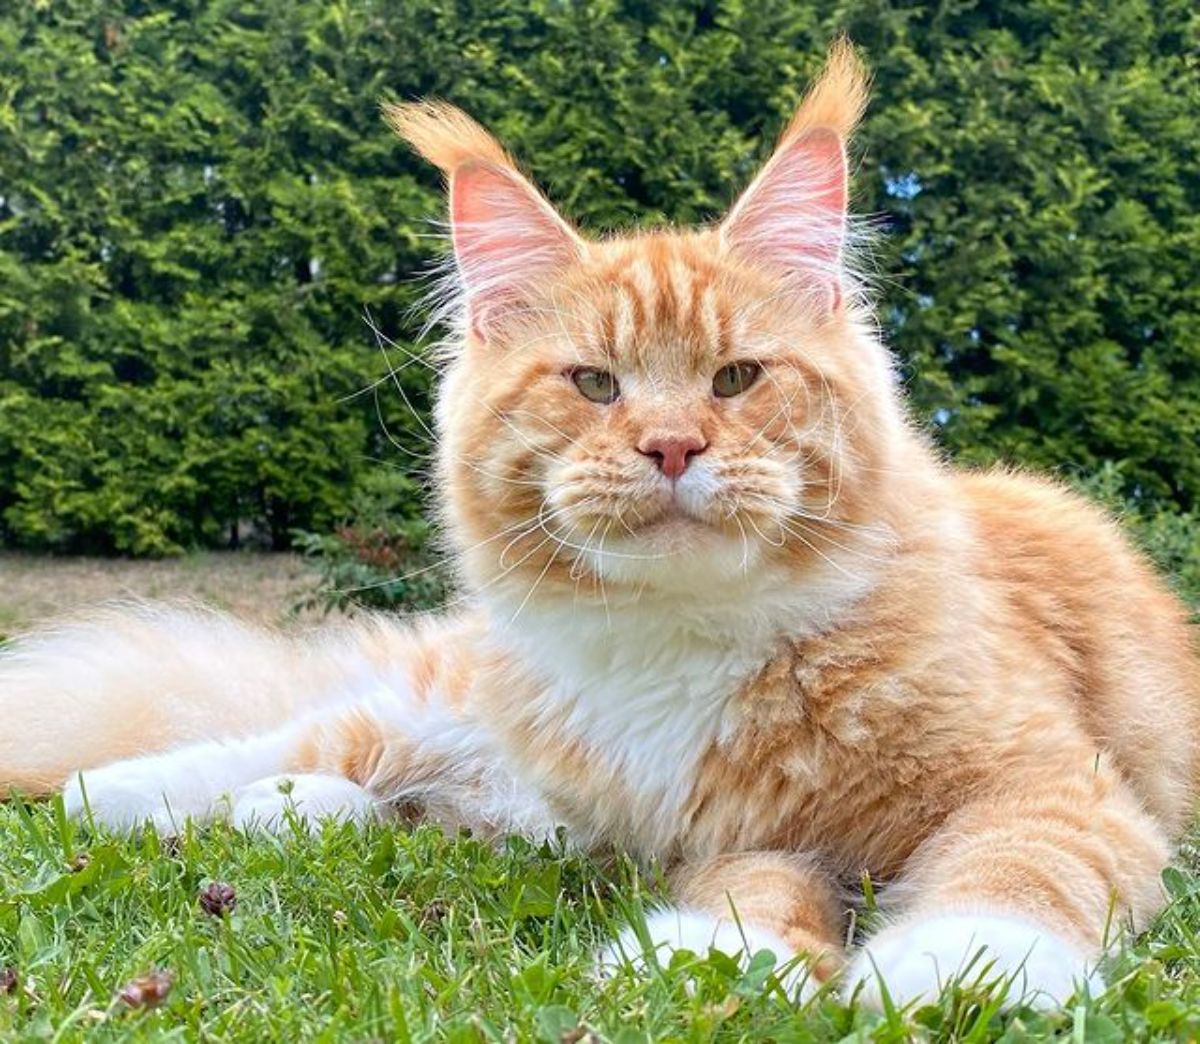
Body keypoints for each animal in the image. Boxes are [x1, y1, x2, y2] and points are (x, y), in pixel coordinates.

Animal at [2, 42, 1200, 1012]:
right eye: (594, 384)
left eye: (735, 379)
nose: (671, 448)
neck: (680, 646)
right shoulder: (735, 830)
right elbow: (758, 889)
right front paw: (716, 956)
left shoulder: (1050, 780)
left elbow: (1014, 869)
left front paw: (953, 968)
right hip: (463, 701)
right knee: (315, 729)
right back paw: (112, 794)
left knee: (395, 784)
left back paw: (290, 812)